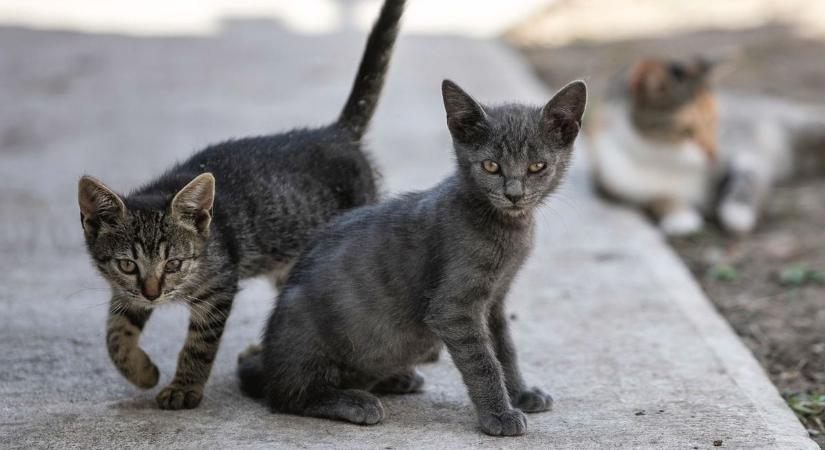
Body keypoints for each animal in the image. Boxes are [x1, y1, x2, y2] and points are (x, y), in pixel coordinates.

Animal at [77, 0, 406, 412]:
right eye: (126, 264)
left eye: (174, 263)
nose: (153, 294)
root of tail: (335, 133)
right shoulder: (127, 290)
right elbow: (115, 332)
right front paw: (140, 371)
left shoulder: (220, 286)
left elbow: (199, 345)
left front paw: (184, 387)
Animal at [238, 78, 584, 436]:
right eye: (491, 166)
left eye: (537, 166)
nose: (514, 194)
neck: (508, 228)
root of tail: (269, 362)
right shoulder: (454, 309)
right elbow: (483, 362)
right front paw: (499, 415)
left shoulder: (495, 302)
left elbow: (505, 350)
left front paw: (521, 394)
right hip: (305, 330)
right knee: (289, 395)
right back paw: (356, 401)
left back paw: (395, 379)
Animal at [584, 56, 824, 236]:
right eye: (687, 131)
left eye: (713, 122)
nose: (713, 154)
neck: (663, 159)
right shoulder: (615, 186)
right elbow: (656, 197)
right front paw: (680, 216)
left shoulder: (744, 150)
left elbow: (746, 176)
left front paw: (737, 212)